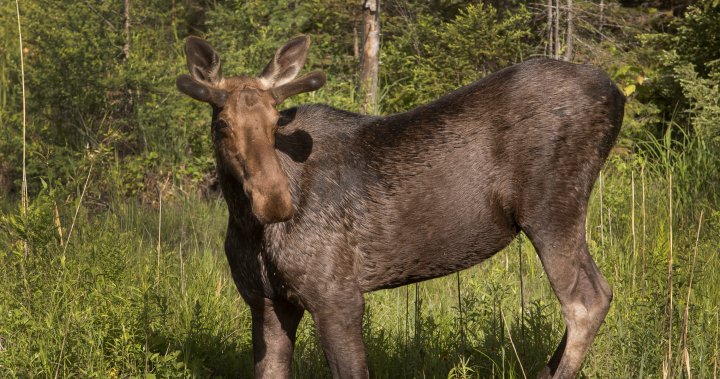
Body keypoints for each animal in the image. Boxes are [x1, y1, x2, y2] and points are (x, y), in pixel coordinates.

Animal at [176, 34, 624, 378]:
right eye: (222, 124)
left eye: (275, 123)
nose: (275, 200)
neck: (247, 225)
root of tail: (615, 93)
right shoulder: (266, 302)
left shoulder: (337, 295)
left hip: (551, 209)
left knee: (586, 301)